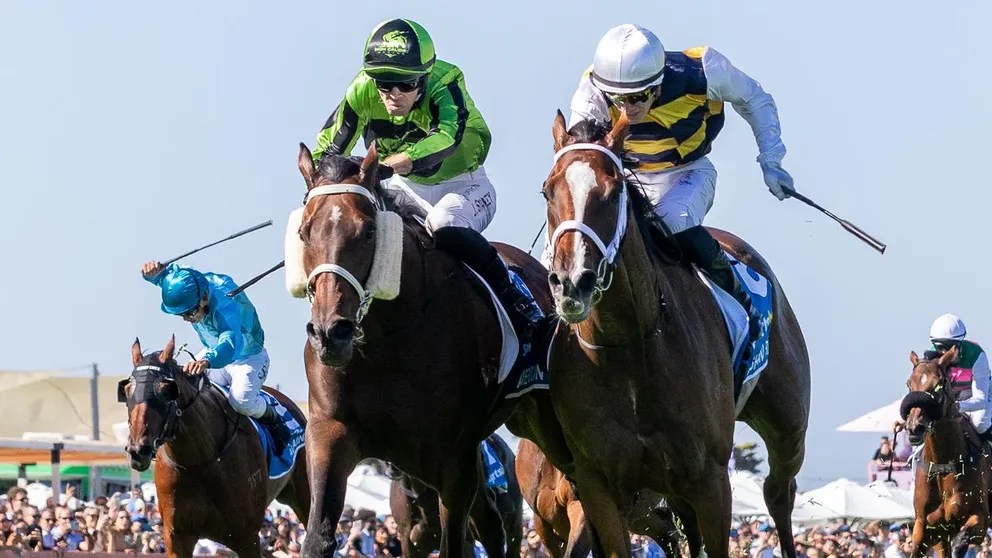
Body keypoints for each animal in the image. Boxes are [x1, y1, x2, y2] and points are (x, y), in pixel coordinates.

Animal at [119, 337, 311, 558]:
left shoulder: (247, 537)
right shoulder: (176, 536)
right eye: (127, 391)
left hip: (304, 496)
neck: (198, 460)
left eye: (166, 390)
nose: (137, 450)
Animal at [541, 112, 810, 558]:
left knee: (778, 492)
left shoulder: (711, 480)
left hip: (787, 424)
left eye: (613, 191)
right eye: (548, 190)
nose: (572, 283)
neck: (629, 348)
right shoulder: (599, 486)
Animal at [902, 347, 991, 557]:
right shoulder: (928, 528)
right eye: (909, 383)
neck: (944, 463)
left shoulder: (980, 518)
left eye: (938, 385)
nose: (914, 428)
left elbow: (960, 543)